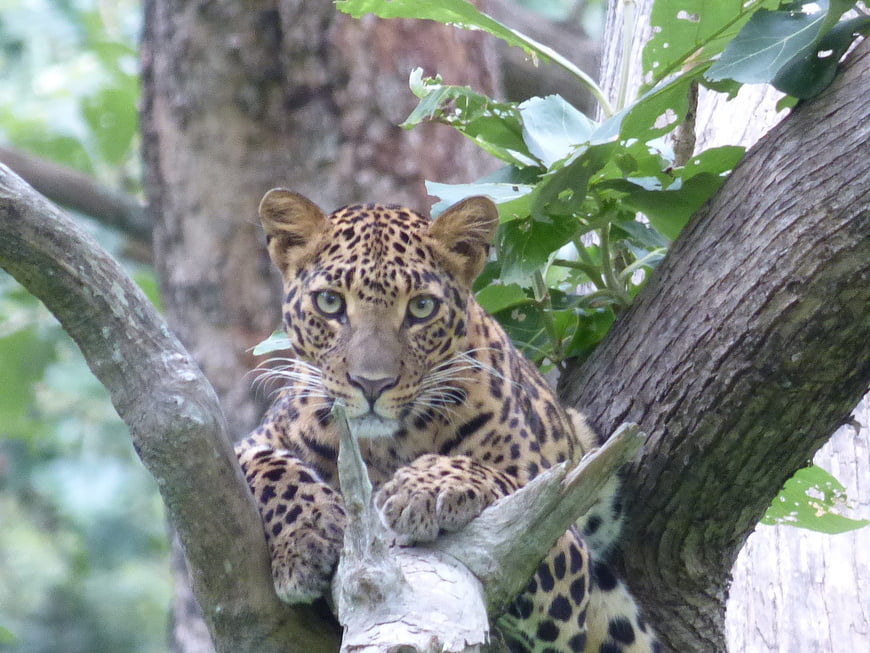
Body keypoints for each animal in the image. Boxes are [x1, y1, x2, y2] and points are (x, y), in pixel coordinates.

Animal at [235, 188, 659, 653]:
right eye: (329, 302)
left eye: (422, 308)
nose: (371, 384)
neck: (385, 445)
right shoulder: (252, 441)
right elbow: (267, 465)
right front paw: (309, 534)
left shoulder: (556, 529)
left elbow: (503, 481)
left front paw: (424, 487)